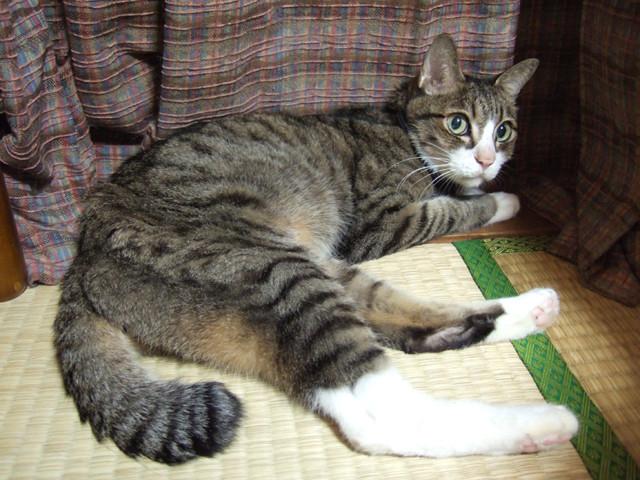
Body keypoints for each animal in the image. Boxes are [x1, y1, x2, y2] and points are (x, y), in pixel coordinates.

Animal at [54, 34, 578, 464]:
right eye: (457, 124)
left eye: (503, 130)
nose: (488, 160)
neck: (398, 127)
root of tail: (83, 256)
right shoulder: (382, 223)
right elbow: (451, 209)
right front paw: (501, 199)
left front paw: (489, 187)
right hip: (277, 269)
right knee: (380, 409)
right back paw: (544, 424)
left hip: (318, 268)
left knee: (390, 338)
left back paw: (534, 310)